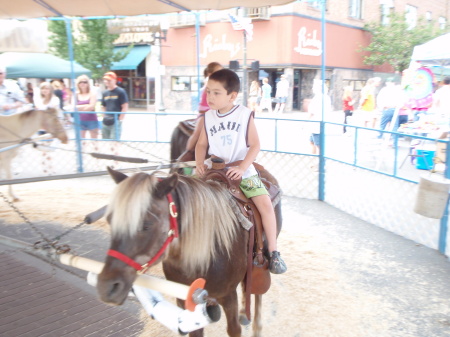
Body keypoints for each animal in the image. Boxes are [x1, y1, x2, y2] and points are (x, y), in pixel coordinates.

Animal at [98, 168, 282, 336]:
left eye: (147, 225)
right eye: (110, 220)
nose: (107, 287)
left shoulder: (229, 296)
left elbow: (234, 329)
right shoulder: (187, 302)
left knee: (257, 287)